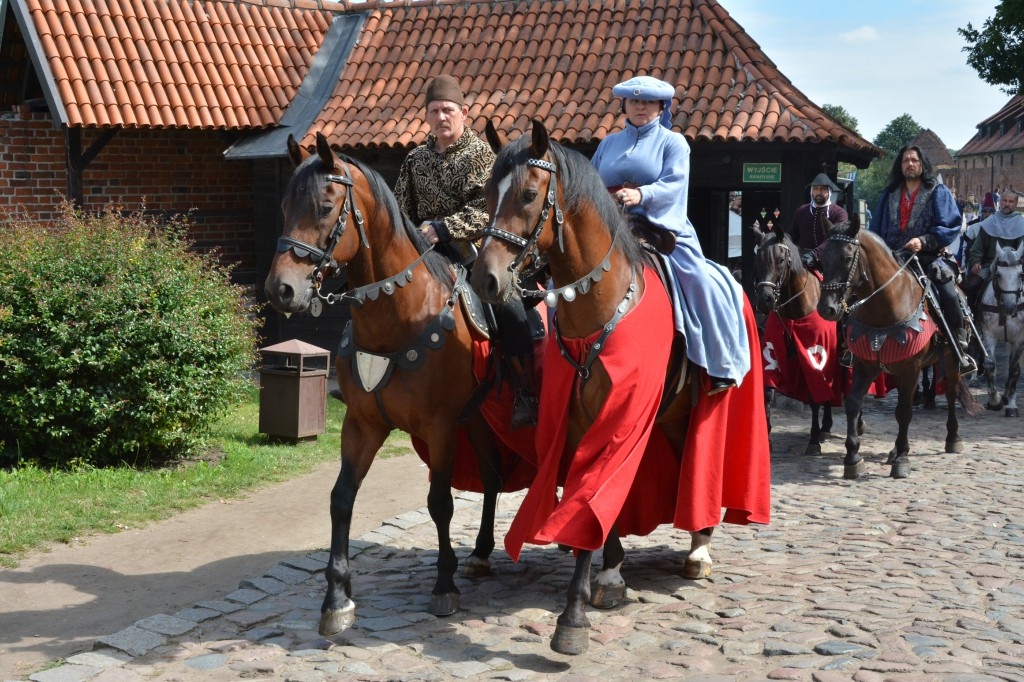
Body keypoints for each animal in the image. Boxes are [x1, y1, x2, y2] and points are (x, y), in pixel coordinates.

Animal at [264, 132, 538, 637]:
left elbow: (440, 503)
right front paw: (337, 598)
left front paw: (444, 585)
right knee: (491, 475)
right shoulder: (362, 424)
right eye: (285, 207)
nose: (282, 290)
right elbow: (341, 499)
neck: (397, 316)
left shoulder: (440, 426)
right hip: (477, 418)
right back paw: (482, 552)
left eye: (326, 207)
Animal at [471, 119, 770, 655]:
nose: (485, 279)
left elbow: (595, 492)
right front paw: (609, 572)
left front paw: (572, 619)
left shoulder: (619, 419)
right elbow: (592, 494)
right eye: (486, 193)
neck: (599, 309)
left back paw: (700, 546)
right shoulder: (576, 425)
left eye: (528, 194)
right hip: (667, 417)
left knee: (700, 466)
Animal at [751, 223, 838, 455]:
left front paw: (814, 440)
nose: (764, 300)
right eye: (758, 259)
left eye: (781, 260)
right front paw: (767, 437)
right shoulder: (772, 351)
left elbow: (814, 396)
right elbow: (768, 392)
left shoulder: (814, 355)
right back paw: (825, 427)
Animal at [817, 217, 978, 479]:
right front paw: (852, 457)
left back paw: (952, 438)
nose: (827, 309)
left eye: (847, 257)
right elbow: (853, 404)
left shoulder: (911, 368)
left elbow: (904, 411)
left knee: (951, 393)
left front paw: (902, 458)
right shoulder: (865, 365)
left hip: (951, 361)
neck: (884, 308)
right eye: (822, 258)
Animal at [977, 242, 1024, 416]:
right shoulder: (988, 334)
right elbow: (990, 364)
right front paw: (994, 400)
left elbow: (1014, 369)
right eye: (998, 274)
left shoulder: (1020, 339)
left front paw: (1011, 404)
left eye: (1020, 274)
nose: (1010, 307)